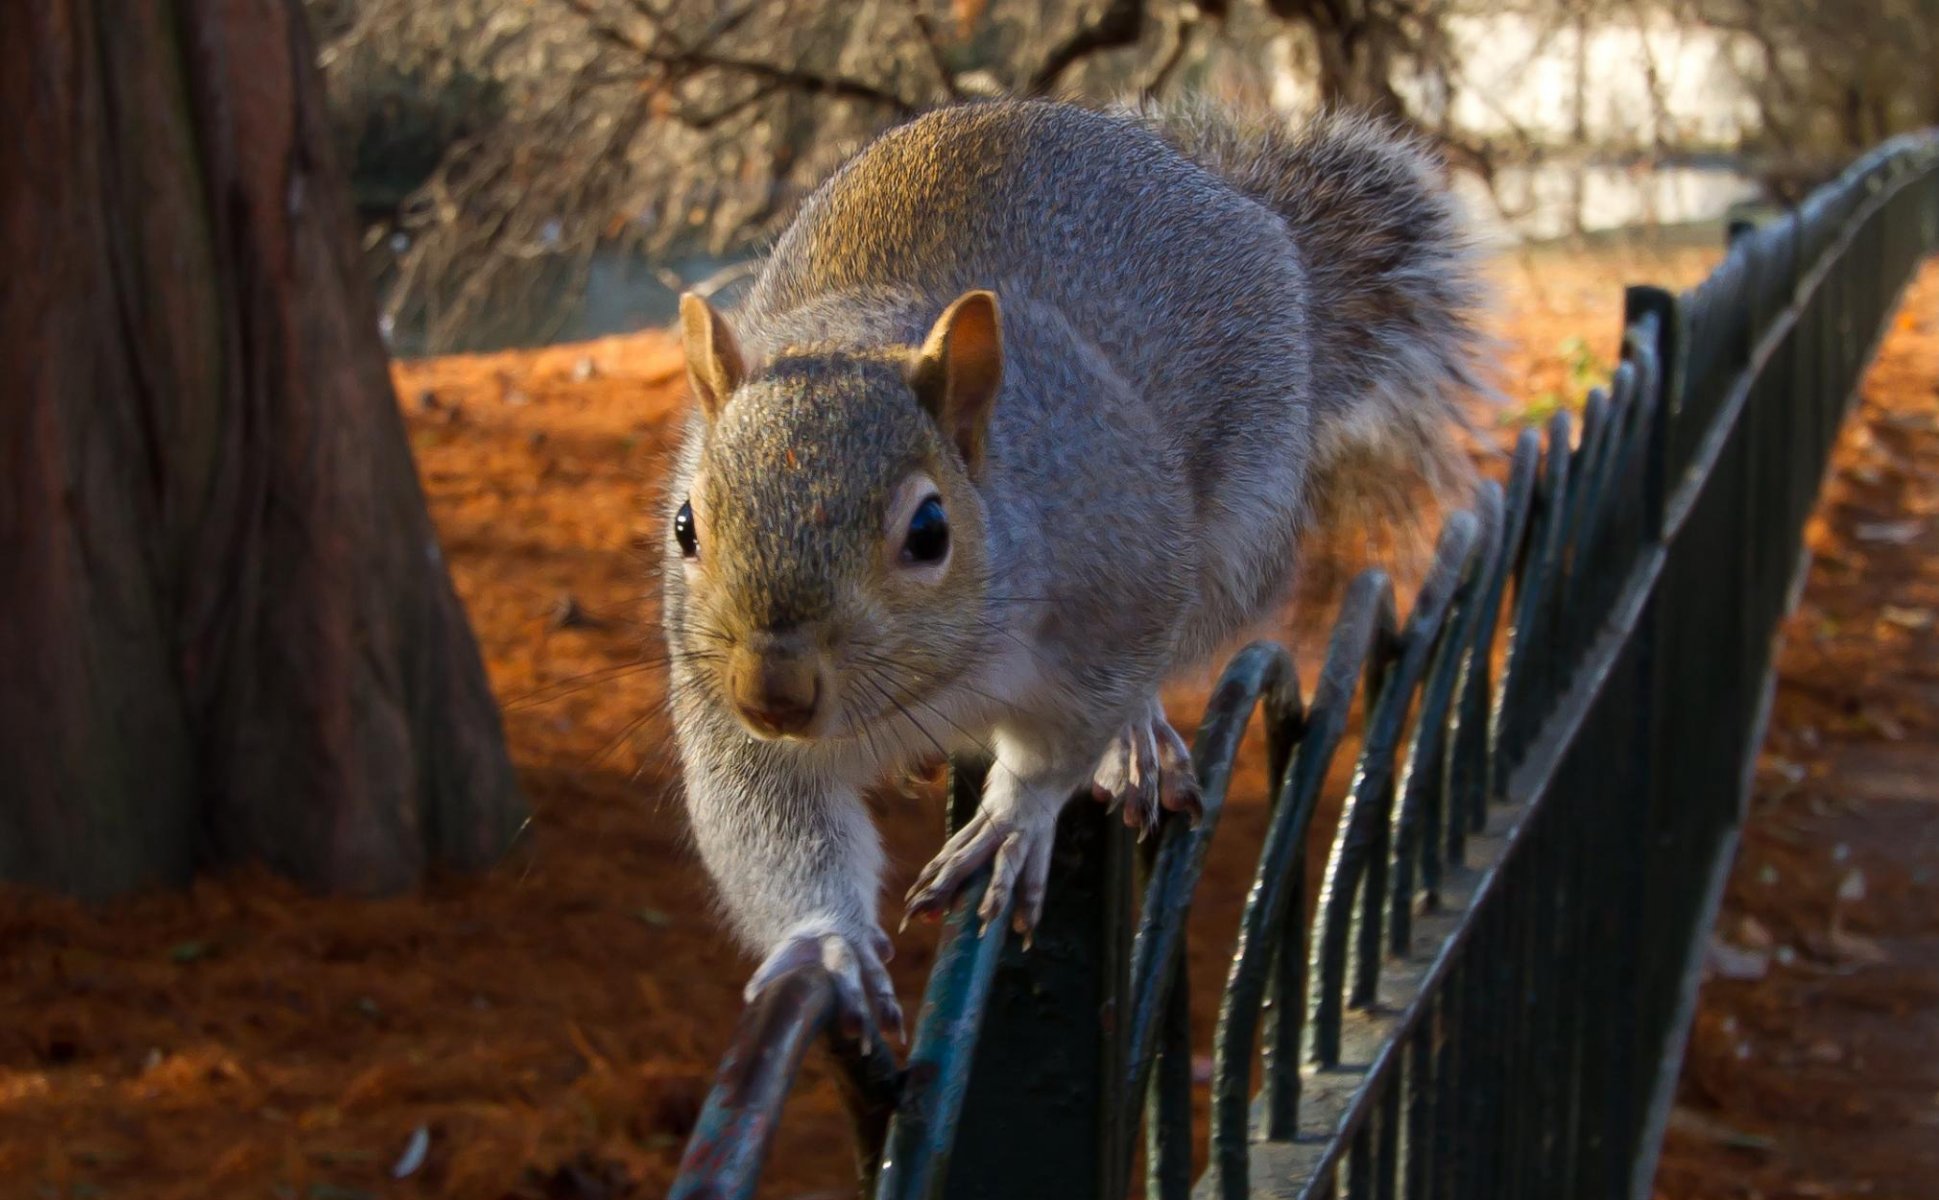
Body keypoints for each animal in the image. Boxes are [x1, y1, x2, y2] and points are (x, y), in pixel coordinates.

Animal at [659, 98, 1473, 1039]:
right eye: (684, 525)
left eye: (929, 531)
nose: (773, 695)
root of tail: (1240, 206)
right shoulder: (720, 705)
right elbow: (768, 823)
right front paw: (826, 944)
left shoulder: (1117, 594)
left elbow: (1062, 744)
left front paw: (1015, 819)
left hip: (1237, 531)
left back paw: (1137, 740)